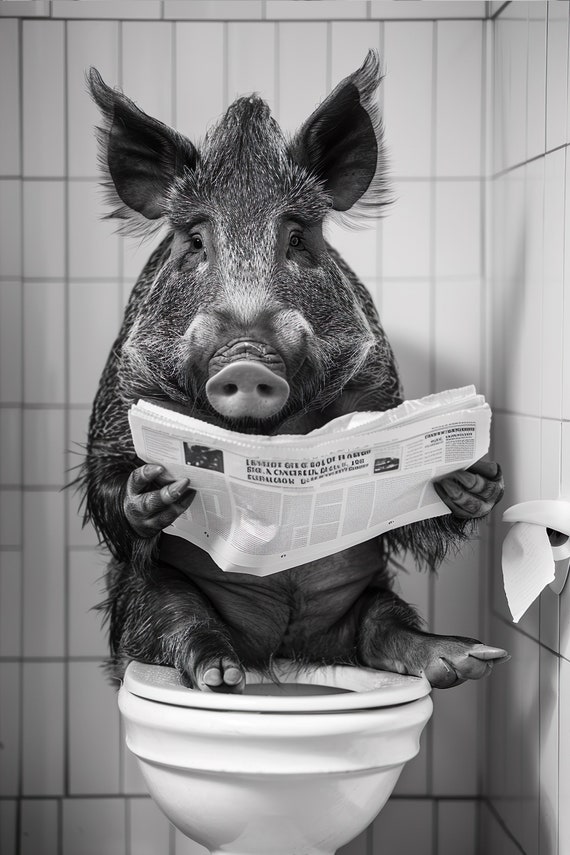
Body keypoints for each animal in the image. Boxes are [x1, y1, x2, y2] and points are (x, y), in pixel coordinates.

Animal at [81, 51, 507, 694]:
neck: (264, 433)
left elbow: (406, 515)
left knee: (381, 625)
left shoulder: (377, 387)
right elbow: (108, 476)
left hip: (369, 599)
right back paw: (221, 675)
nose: (246, 354)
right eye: (196, 240)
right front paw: (156, 485)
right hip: (147, 599)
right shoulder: (120, 396)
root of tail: (279, 650)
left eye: (299, 240)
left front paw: (472, 477)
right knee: (179, 621)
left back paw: (463, 659)